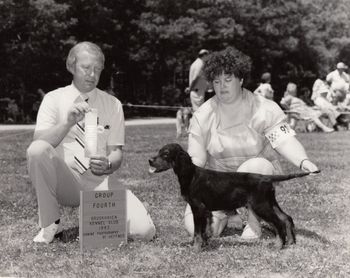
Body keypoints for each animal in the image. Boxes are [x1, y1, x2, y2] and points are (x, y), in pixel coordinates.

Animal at [149, 143, 318, 250]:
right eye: (158, 152)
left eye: (165, 154)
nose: (150, 160)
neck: (190, 175)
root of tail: (266, 178)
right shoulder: (205, 211)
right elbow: (204, 231)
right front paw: (204, 244)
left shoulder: (198, 208)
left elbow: (197, 232)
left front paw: (195, 249)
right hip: (269, 202)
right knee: (287, 218)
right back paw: (291, 242)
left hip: (260, 205)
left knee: (279, 222)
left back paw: (278, 245)